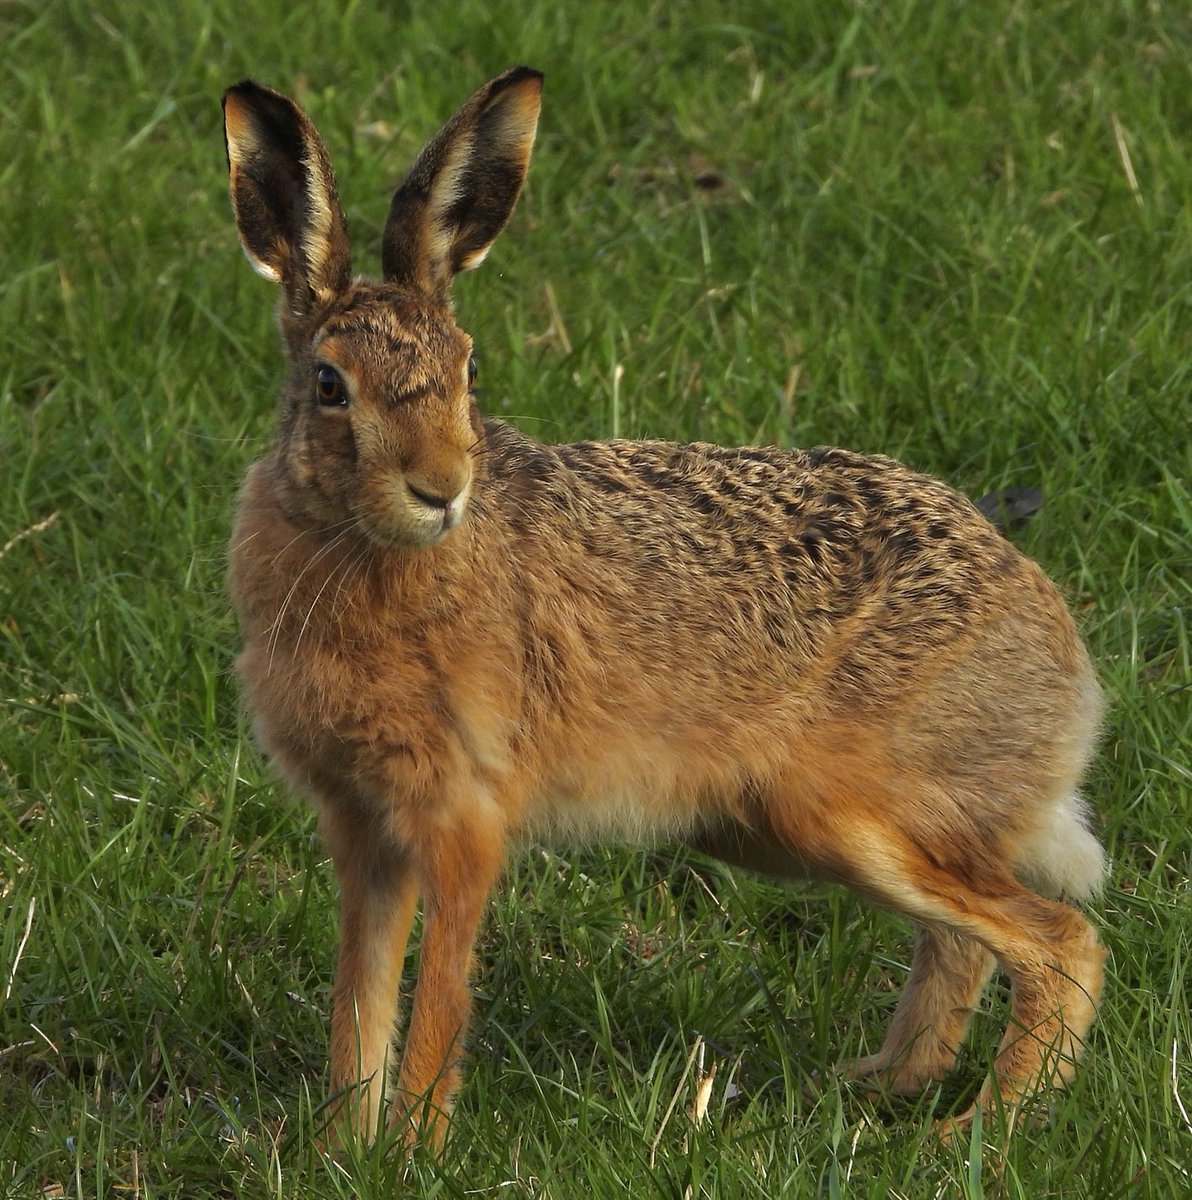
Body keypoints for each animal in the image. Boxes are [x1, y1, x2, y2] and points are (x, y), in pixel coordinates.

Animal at [221, 66, 1106, 1147]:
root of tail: (1059, 658)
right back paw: (876, 1089)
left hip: (851, 815)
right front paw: (344, 1147)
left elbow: (439, 992)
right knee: (967, 946)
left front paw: (415, 1147)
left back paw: (976, 1129)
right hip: (788, 829)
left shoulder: (465, 812)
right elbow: (362, 995)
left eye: (468, 369)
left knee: (1058, 939)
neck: (364, 545)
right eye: (329, 385)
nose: (441, 489)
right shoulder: (363, 827)